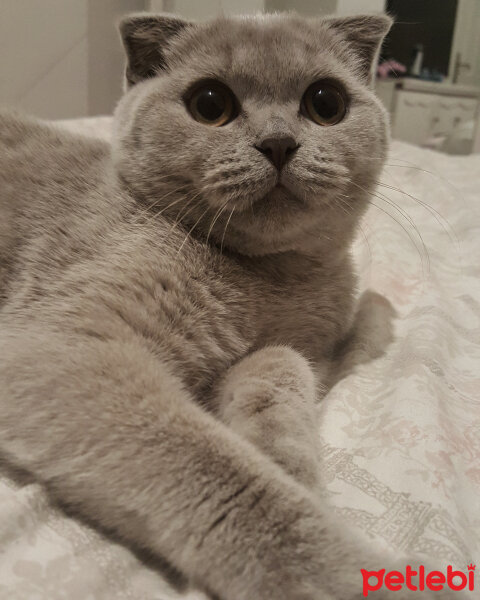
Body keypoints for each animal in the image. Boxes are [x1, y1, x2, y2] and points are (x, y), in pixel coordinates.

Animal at [0, 11, 442, 600]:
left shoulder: (304, 349)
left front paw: (288, 462)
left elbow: (280, 370)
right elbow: (227, 479)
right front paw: (344, 573)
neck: (266, 278)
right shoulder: (66, 343)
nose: (278, 142)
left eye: (326, 103)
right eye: (210, 104)